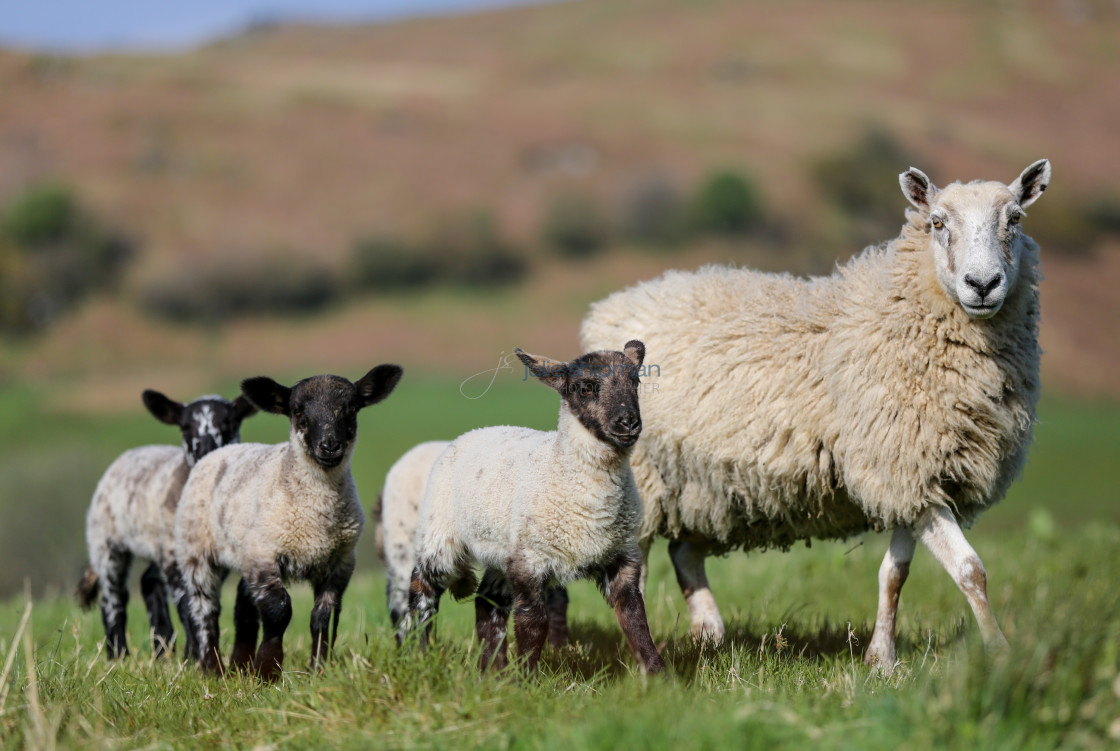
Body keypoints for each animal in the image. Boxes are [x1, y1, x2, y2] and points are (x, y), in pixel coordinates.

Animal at [77, 391, 256, 662]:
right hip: (105, 539)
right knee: (113, 597)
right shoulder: (174, 554)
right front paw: (194, 656)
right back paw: (118, 654)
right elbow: (188, 604)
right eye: (185, 426)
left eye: (230, 422)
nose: (205, 449)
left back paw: (162, 650)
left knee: (148, 581)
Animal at [174, 364, 403, 680]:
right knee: (203, 608)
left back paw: (239, 664)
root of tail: (212, 453)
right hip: (196, 548)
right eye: (297, 411)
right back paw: (213, 668)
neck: (317, 518)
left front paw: (318, 669)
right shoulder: (265, 554)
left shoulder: (340, 562)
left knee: (243, 607)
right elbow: (279, 611)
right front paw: (268, 670)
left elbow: (324, 615)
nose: (329, 445)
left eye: (352, 407)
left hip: (243, 553)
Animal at [405, 340, 658, 676]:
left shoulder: (621, 556)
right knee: (422, 588)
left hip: (503, 549)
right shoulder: (531, 561)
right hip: (440, 533)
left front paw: (660, 675)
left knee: (487, 603)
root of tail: (473, 431)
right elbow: (533, 623)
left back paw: (492, 672)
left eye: (636, 382)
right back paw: (419, 653)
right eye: (585, 387)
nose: (628, 422)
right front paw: (526, 678)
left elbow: (635, 619)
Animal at [577, 160, 1048, 676]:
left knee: (684, 553)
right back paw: (646, 655)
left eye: (1016, 219)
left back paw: (710, 636)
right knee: (636, 574)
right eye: (937, 223)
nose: (983, 285)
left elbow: (895, 573)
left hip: (709, 483)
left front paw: (882, 660)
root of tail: (613, 305)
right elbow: (970, 570)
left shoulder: (909, 476)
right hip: (647, 475)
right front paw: (1002, 655)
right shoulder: (902, 468)